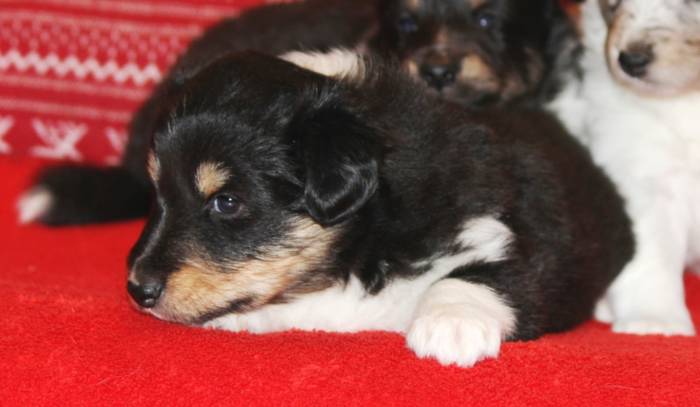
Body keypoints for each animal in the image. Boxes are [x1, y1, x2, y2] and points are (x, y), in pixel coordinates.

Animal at [117, 49, 631, 367]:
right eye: (157, 194)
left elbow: (489, 273)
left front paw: (450, 327)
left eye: (227, 202)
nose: (138, 290)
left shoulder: (525, 235)